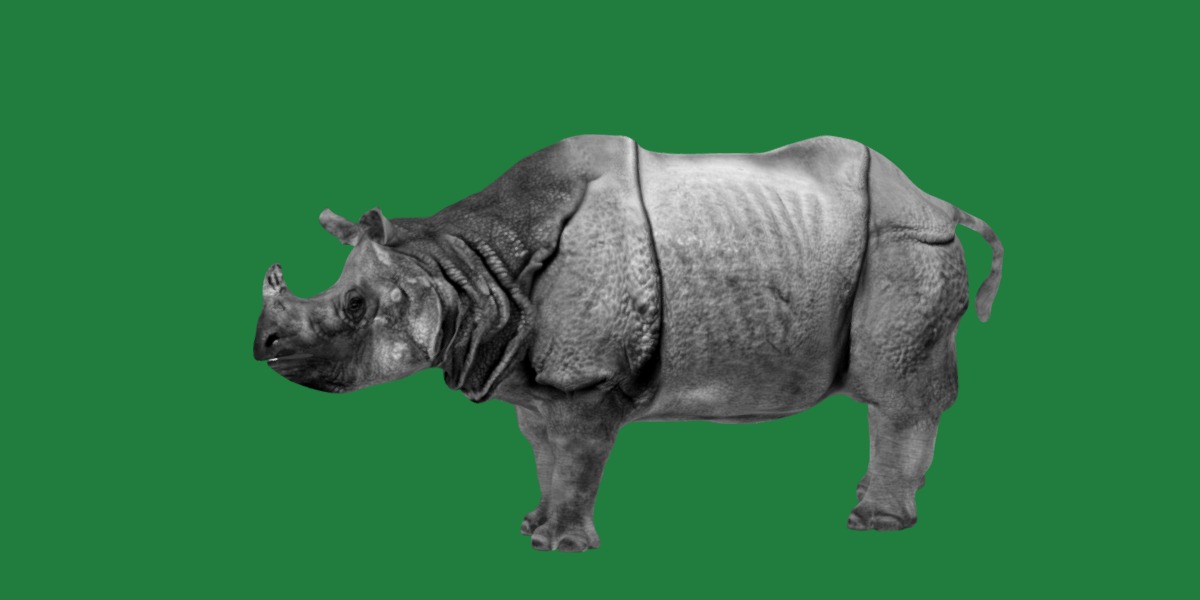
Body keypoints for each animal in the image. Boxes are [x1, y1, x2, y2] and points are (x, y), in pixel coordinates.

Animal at [253, 135, 1003, 551]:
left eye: (355, 306)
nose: (264, 348)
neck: (463, 267)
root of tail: (937, 200)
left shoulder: (590, 378)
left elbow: (579, 457)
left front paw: (558, 547)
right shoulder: (534, 377)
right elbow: (546, 454)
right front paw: (532, 524)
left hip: (906, 243)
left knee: (899, 391)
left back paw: (872, 525)